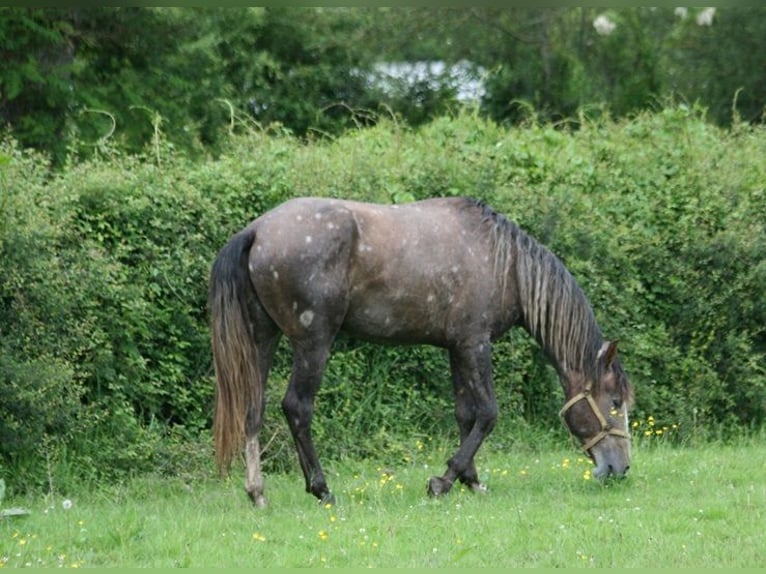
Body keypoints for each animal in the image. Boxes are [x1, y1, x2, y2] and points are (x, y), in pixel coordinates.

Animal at [210, 198, 636, 508]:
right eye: (614, 402)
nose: (620, 468)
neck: (507, 264)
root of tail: (257, 231)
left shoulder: (456, 348)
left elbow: (465, 415)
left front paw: (471, 481)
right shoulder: (475, 343)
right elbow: (487, 414)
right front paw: (443, 482)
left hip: (264, 339)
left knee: (253, 409)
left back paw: (257, 492)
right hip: (313, 344)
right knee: (297, 408)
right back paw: (321, 488)